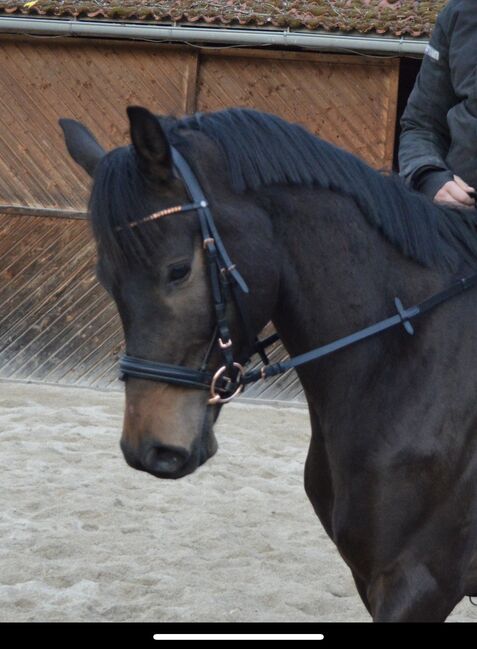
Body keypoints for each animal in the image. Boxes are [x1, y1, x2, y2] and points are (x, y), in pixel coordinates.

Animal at [59, 107, 476, 624]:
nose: (150, 450)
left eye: (178, 270)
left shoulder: (420, 581)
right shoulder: (370, 576)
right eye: (106, 278)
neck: (407, 359)